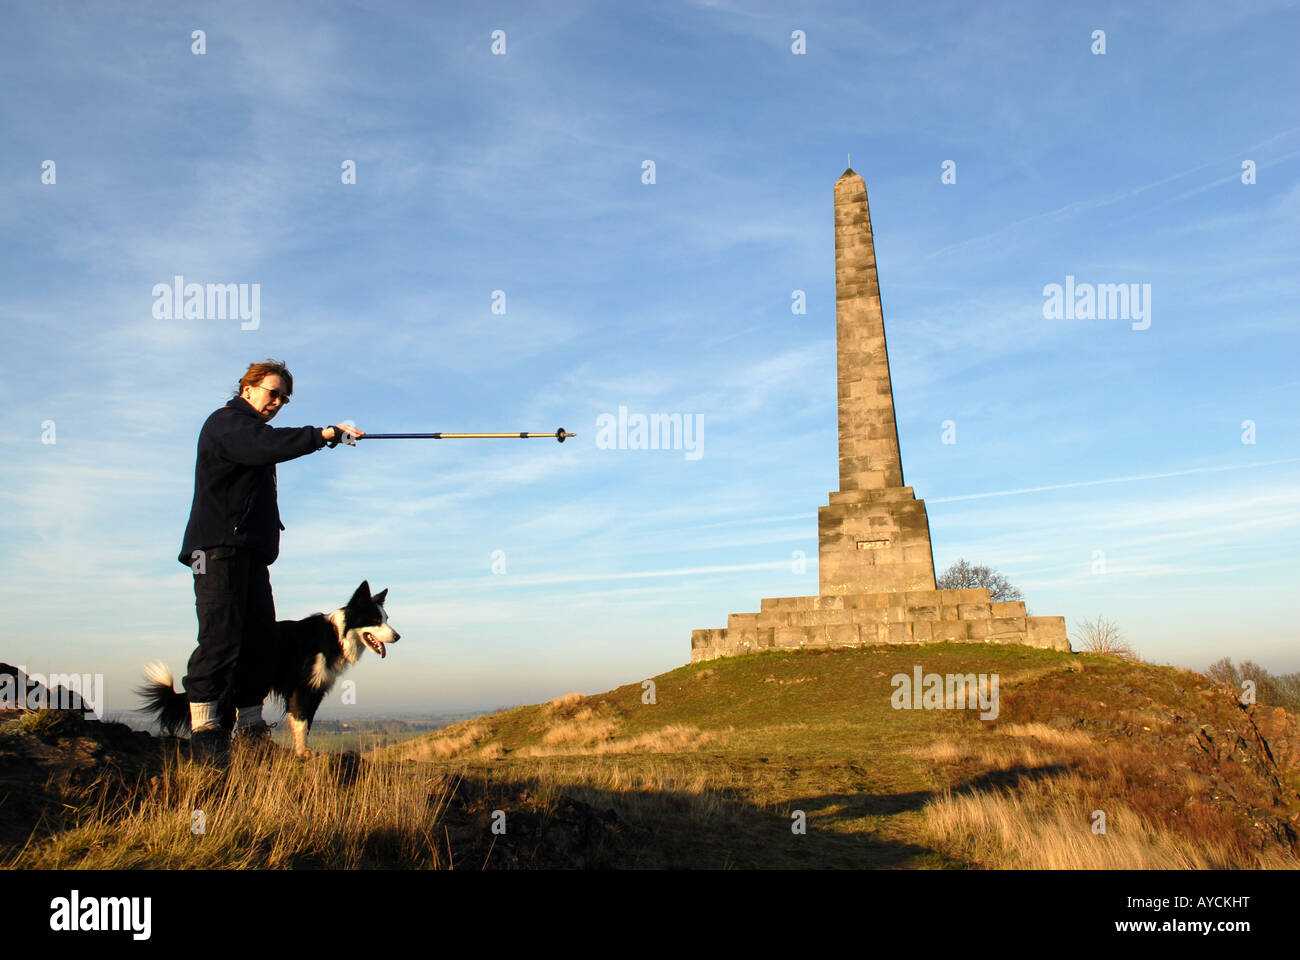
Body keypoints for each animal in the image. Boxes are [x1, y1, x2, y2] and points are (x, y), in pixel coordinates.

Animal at [139, 574, 397, 754]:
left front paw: (303, 749)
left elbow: (305, 722)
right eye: (375, 620)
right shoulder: (302, 687)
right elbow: (302, 720)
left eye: (386, 619)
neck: (336, 635)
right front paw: (303, 752)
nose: (397, 636)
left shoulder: (315, 689)